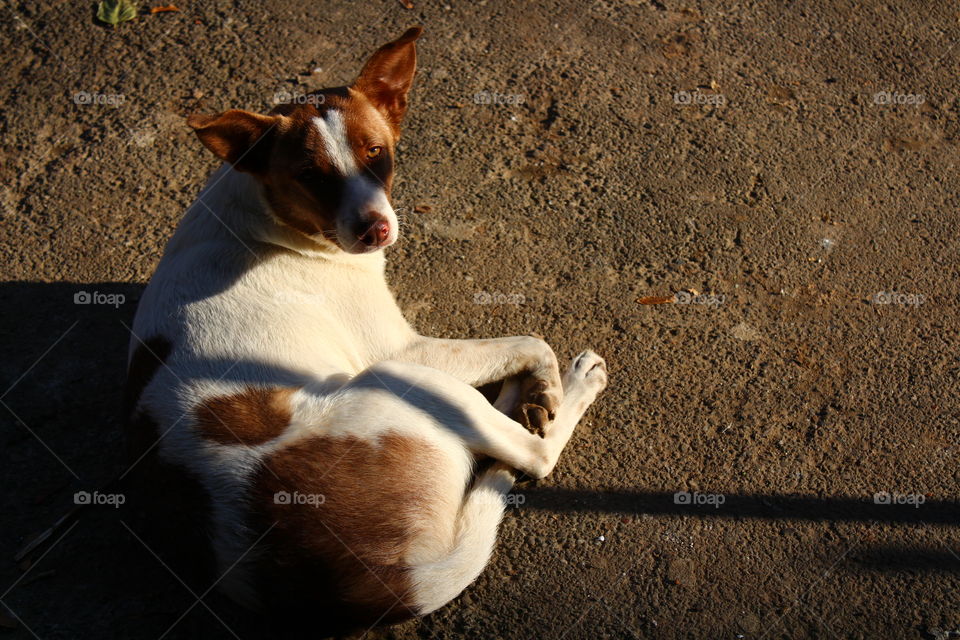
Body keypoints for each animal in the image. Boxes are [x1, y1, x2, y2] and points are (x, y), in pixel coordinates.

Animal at [125, 26, 608, 636]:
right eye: (309, 176)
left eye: (376, 153)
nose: (375, 229)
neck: (265, 213)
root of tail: (379, 586)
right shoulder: (405, 347)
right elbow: (529, 341)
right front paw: (549, 379)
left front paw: (535, 387)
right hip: (401, 378)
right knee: (533, 454)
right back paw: (570, 387)